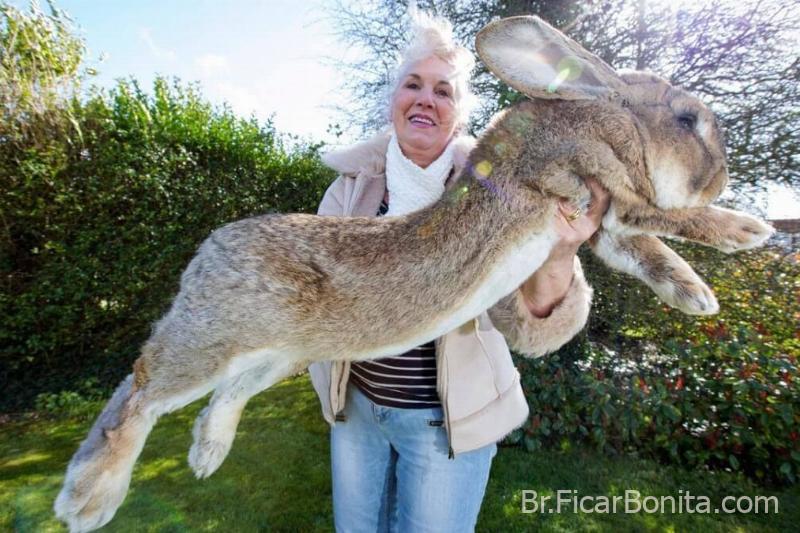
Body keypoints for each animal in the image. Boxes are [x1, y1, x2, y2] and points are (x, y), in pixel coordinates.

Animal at [53, 14, 772, 528]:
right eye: (687, 119)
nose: (723, 177)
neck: (604, 117)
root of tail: (208, 250)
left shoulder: (604, 222)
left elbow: (648, 250)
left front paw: (697, 295)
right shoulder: (597, 185)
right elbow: (666, 218)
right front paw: (746, 230)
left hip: (279, 351)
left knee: (220, 393)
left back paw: (205, 454)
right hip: (220, 336)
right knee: (140, 389)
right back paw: (87, 498)